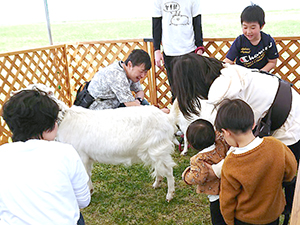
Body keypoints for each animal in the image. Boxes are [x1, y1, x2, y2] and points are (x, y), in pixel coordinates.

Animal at [14, 83, 178, 201]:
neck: (65, 119)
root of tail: (167, 118)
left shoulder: (81, 156)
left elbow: (85, 176)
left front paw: (89, 193)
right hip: (151, 150)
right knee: (159, 169)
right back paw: (156, 184)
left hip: (158, 149)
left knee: (169, 171)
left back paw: (169, 195)